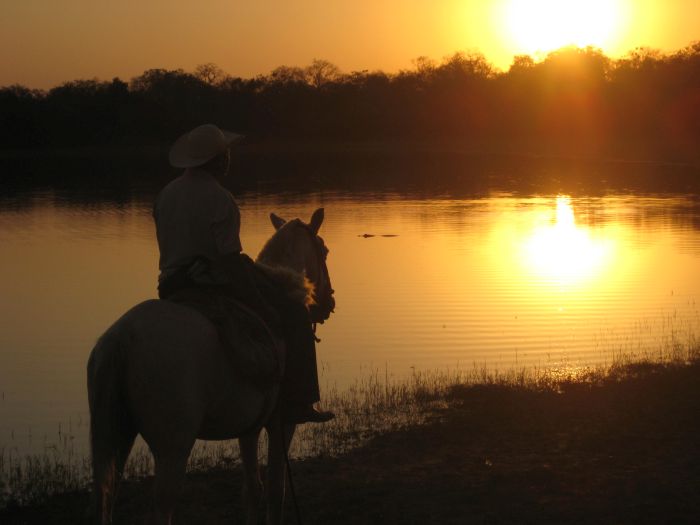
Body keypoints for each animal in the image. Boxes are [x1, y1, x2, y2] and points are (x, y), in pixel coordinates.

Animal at [86, 207, 338, 520]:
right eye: (324, 250)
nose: (329, 303)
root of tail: (122, 338)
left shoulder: (249, 427)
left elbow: (252, 489)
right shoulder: (282, 422)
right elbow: (275, 490)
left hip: (115, 437)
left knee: (106, 497)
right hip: (173, 448)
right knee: (162, 504)